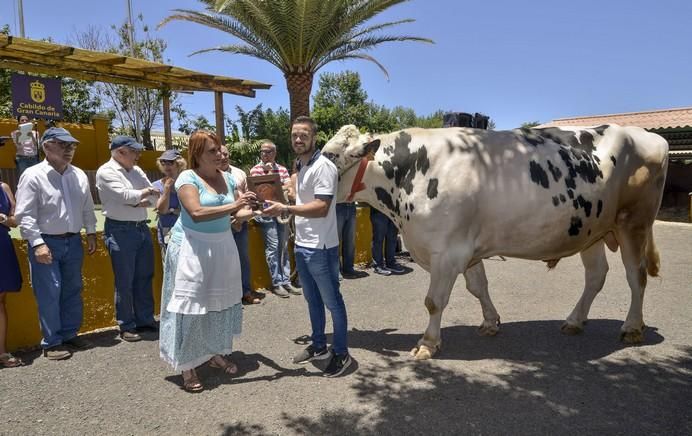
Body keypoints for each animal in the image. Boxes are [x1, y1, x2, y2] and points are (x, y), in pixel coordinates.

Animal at [324, 122, 672, 358]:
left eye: (329, 155)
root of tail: (648, 135)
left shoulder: (447, 252)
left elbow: (434, 301)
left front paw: (427, 344)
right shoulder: (466, 249)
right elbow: (478, 287)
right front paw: (491, 322)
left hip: (633, 222)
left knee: (636, 275)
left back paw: (632, 327)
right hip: (592, 230)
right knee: (596, 276)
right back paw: (574, 321)